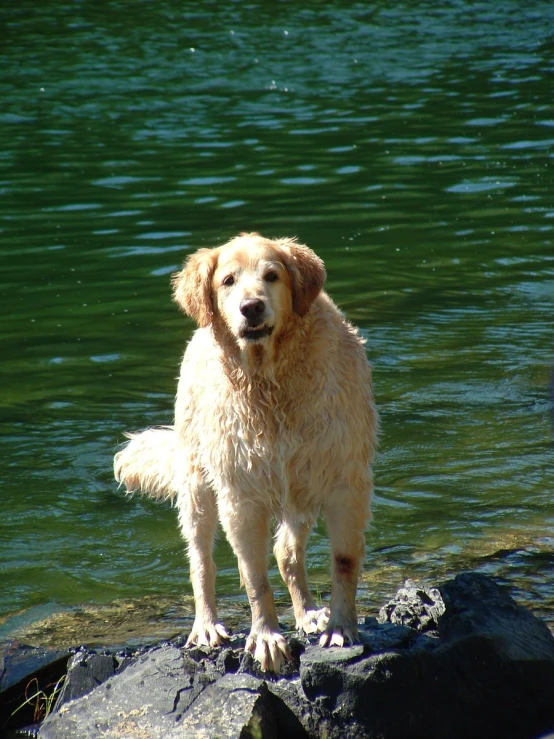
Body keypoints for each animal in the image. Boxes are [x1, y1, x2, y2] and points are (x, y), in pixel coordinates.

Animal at [114, 234, 378, 672]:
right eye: (228, 281)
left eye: (272, 276)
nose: (251, 307)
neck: (270, 382)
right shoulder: (240, 497)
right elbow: (254, 575)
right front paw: (267, 637)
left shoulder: (344, 480)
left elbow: (343, 561)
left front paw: (340, 627)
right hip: (198, 482)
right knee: (201, 559)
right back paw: (206, 626)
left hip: (300, 488)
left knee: (287, 551)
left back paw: (309, 612)